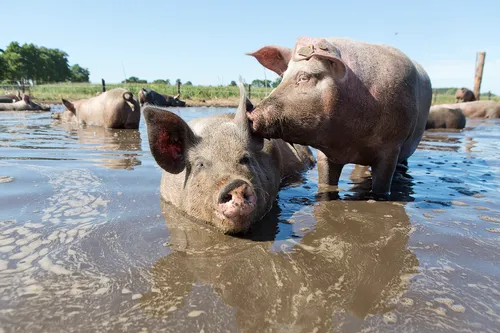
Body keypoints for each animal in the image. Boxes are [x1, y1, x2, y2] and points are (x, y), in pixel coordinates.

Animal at [244, 36, 432, 193]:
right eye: (283, 77)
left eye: (304, 77)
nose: (250, 115)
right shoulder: (325, 154)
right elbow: (326, 182)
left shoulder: (392, 147)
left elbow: (381, 188)